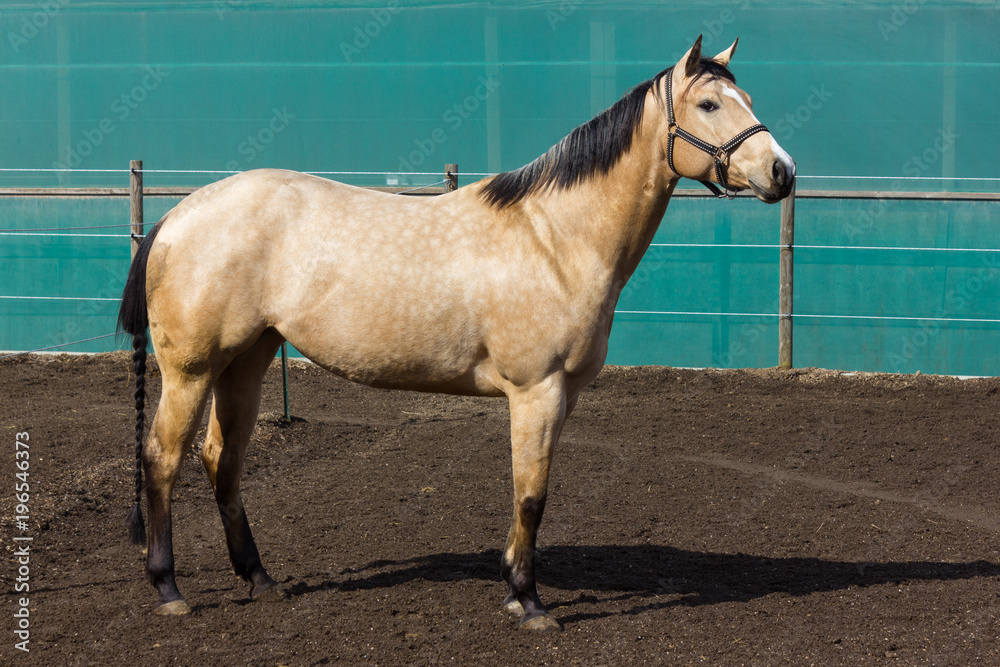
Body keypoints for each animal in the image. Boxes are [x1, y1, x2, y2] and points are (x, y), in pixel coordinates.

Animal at [118, 36, 794, 632]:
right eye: (708, 105)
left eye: (747, 97)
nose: (782, 171)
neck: (554, 237)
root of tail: (175, 217)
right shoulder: (536, 391)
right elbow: (531, 495)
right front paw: (530, 602)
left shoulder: (563, 395)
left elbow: (531, 494)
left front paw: (514, 589)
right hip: (192, 371)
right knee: (162, 457)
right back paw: (169, 589)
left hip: (247, 361)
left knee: (221, 458)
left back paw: (260, 579)